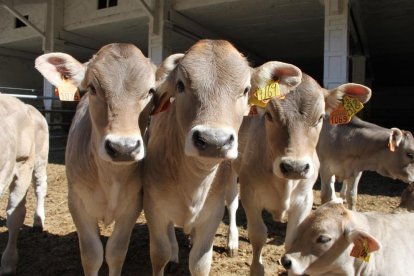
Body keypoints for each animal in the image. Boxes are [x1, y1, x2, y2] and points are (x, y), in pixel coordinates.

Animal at [0, 94, 48, 274]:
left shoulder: (23, 165)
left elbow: (16, 214)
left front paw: (8, 263)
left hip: (40, 158)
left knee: (40, 187)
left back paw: (38, 221)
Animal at [35, 43, 155, 276]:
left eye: (151, 91)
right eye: (92, 88)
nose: (123, 148)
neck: (111, 178)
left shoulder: (132, 206)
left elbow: (116, 252)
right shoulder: (77, 204)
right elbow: (92, 255)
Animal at [142, 39, 300, 276]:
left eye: (246, 89)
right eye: (180, 85)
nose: (213, 140)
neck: (194, 183)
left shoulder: (212, 213)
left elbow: (200, 263)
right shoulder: (154, 209)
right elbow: (160, 254)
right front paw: (170, 254)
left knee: (233, 203)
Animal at [223, 74, 372, 274]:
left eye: (320, 117)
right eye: (269, 115)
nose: (295, 167)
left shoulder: (304, 199)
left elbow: (292, 239)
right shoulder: (250, 195)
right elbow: (258, 235)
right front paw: (256, 269)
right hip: (229, 166)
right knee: (231, 203)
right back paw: (232, 242)